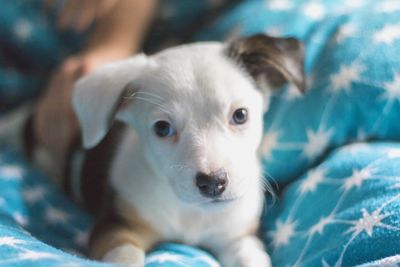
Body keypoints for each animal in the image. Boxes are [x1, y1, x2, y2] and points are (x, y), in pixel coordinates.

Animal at [32, 34, 304, 267]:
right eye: (162, 128)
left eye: (240, 115)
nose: (212, 183)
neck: (190, 212)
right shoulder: (115, 224)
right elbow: (125, 256)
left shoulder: (240, 236)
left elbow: (251, 258)